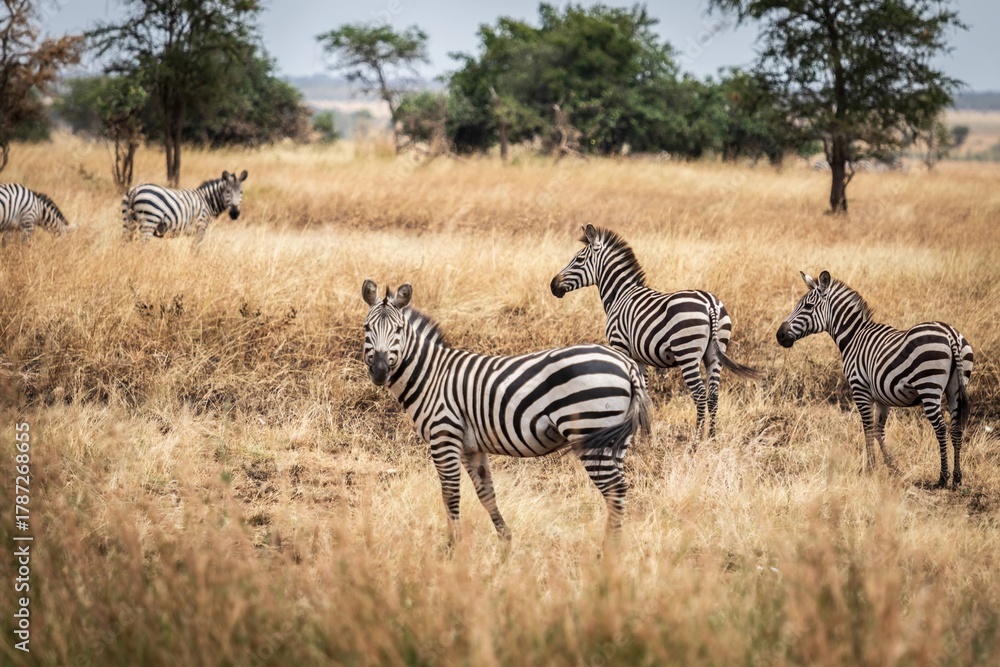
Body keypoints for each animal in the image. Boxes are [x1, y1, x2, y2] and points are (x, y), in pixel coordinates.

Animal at [361, 279, 651, 542]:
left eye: (399, 329)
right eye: (366, 328)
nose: (379, 371)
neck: (432, 375)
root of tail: (627, 364)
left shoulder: (444, 435)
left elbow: (450, 493)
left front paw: (452, 547)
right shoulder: (471, 447)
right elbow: (486, 492)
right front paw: (505, 542)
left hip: (590, 430)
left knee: (614, 490)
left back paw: (608, 552)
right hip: (615, 439)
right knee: (620, 489)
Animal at [550, 224, 760, 439]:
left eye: (578, 259)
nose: (553, 285)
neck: (620, 295)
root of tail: (710, 303)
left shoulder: (620, 346)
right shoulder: (640, 357)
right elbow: (645, 394)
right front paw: (646, 436)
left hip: (687, 351)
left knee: (700, 394)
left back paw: (696, 439)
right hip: (716, 353)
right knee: (714, 395)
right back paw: (712, 437)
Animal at [776, 270, 973, 488]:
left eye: (808, 307)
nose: (780, 335)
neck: (853, 337)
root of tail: (950, 334)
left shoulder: (860, 390)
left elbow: (868, 428)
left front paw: (870, 468)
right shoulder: (882, 397)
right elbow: (879, 430)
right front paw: (892, 467)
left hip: (928, 386)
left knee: (940, 428)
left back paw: (942, 477)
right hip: (956, 388)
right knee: (956, 428)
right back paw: (957, 477)